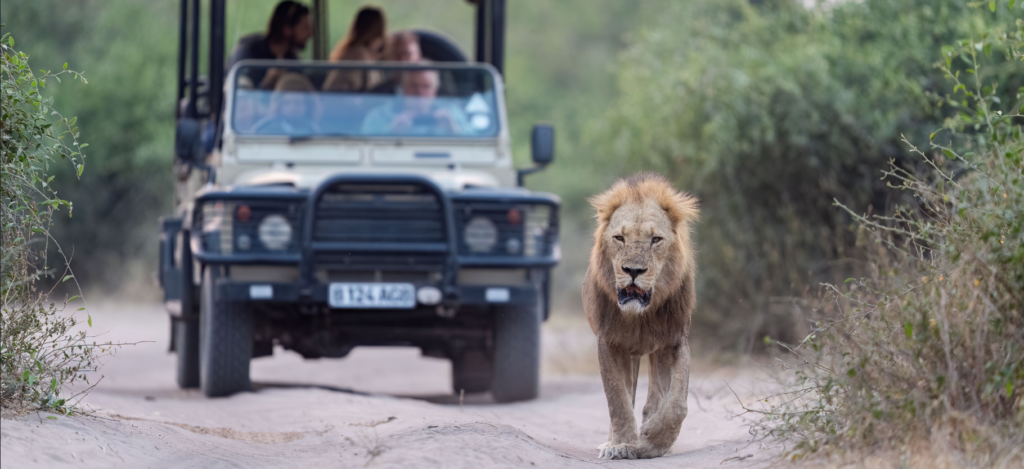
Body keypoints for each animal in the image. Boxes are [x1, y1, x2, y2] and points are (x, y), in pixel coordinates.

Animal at [585, 171, 696, 458]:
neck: (640, 316)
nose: (633, 270)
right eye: (619, 238)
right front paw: (620, 445)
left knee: (657, 394)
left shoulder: (675, 341)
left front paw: (653, 440)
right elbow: (618, 400)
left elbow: (677, 403)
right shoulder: (609, 342)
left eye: (655, 240)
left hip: (656, 352)